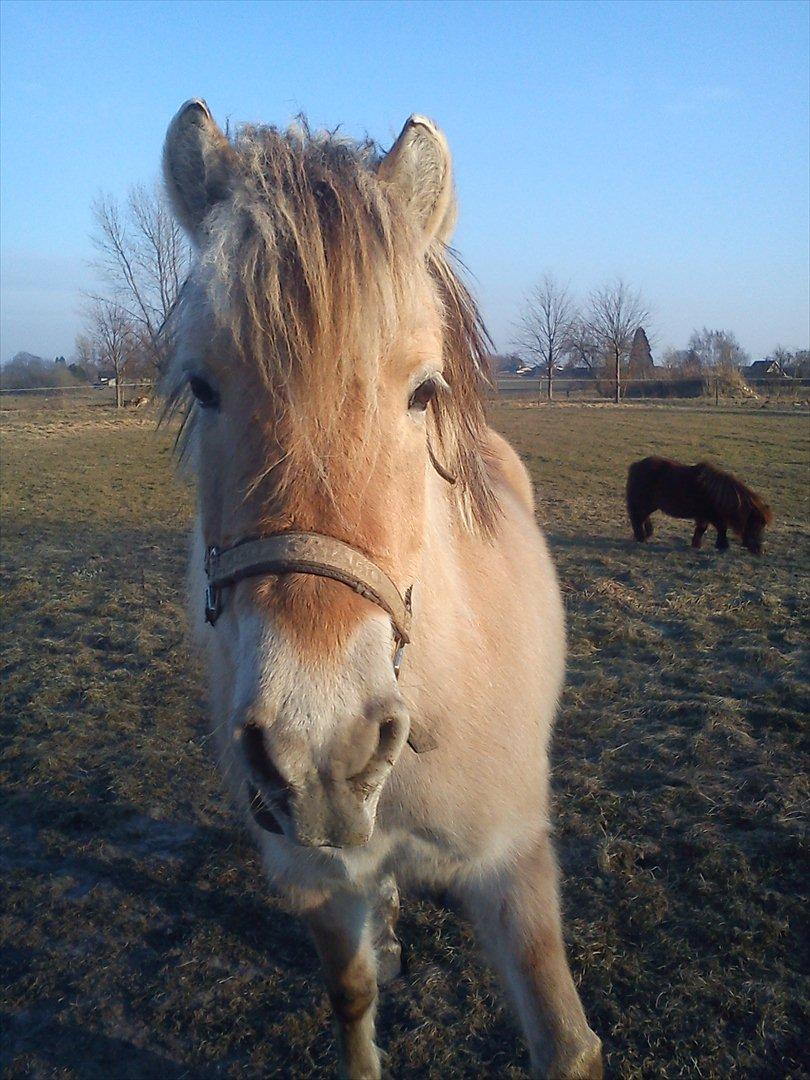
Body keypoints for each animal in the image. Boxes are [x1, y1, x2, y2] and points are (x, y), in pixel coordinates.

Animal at [159, 99, 604, 1071]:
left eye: (422, 391)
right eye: (203, 386)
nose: (317, 747)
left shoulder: (514, 865)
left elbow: (565, 1041)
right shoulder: (314, 878)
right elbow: (351, 992)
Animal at [626, 457, 773, 557]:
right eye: (756, 524)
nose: (759, 550)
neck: (718, 494)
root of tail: (636, 465)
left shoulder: (703, 516)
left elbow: (702, 529)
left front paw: (697, 545)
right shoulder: (711, 516)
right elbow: (722, 528)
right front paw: (722, 546)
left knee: (643, 518)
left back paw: (647, 534)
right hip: (645, 503)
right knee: (638, 519)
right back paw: (641, 538)